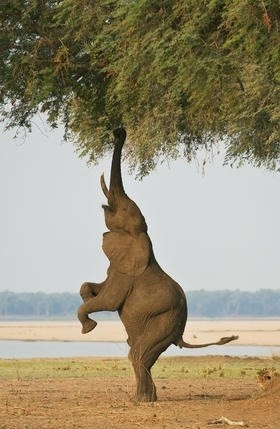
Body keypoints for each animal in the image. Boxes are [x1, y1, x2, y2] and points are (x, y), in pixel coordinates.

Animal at [77, 128, 237, 402]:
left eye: (124, 210)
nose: (119, 131)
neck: (142, 237)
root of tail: (181, 331)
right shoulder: (118, 266)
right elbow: (93, 287)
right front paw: (88, 301)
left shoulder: (127, 274)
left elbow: (109, 301)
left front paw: (89, 328)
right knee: (142, 354)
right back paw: (146, 398)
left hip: (163, 321)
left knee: (138, 353)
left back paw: (142, 400)